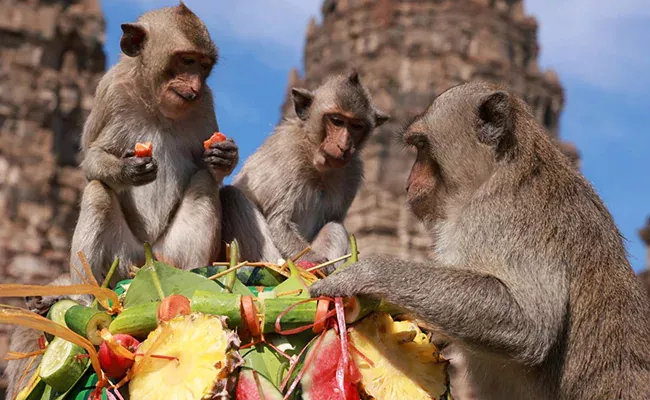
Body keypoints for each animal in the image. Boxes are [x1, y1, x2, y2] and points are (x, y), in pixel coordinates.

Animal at [2, 4, 238, 398]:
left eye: (204, 66)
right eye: (186, 60)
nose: (193, 86)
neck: (155, 103)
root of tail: (147, 259)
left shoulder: (205, 104)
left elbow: (209, 170)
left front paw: (224, 157)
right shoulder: (110, 93)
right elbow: (92, 161)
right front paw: (127, 170)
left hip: (168, 252)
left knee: (203, 184)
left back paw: (196, 276)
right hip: (122, 258)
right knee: (97, 192)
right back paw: (84, 300)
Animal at [220, 70, 388, 274]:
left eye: (356, 126)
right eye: (337, 121)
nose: (344, 146)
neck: (314, 156)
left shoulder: (353, 172)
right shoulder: (288, 152)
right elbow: (279, 222)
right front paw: (315, 261)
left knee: (334, 227)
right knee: (233, 196)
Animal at [308, 81, 648, 400]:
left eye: (422, 147)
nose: (408, 183)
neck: (498, 170)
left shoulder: (501, 215)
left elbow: (530, 325)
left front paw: (365, 274)